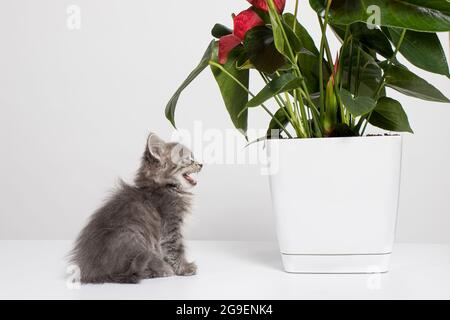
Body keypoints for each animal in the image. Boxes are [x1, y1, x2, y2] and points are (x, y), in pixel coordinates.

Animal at [69, 134, 201, 284]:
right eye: (188, 159)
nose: (201, 164)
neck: (164, 187)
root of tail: (94, 272)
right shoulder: (170, 224)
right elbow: (175, 249)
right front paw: (185, 268)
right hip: (133, 238)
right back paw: (162, 270)